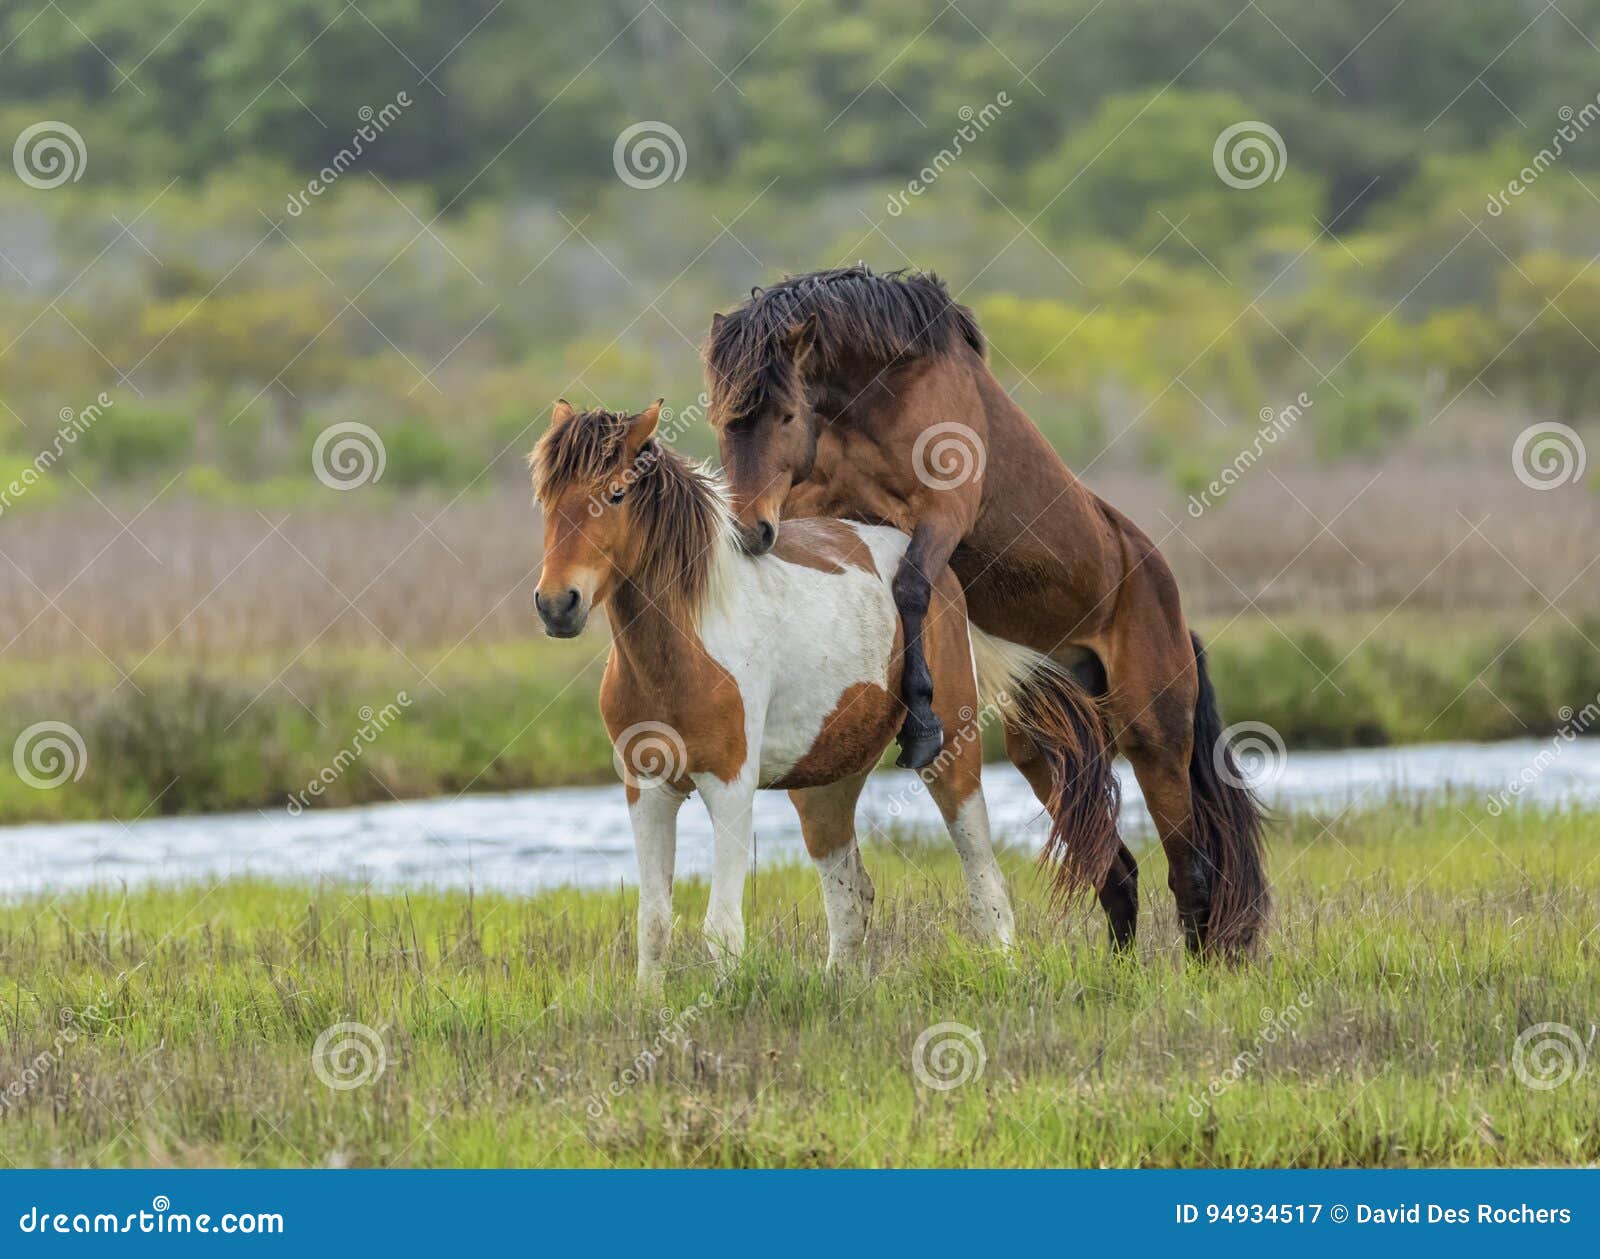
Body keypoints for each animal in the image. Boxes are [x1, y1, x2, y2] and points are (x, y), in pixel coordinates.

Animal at [531, 398, 1120, 991]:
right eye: (545, 499)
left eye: (615, 494)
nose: (558, 605)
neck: (686, 645)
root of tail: (937, 576)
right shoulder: (647, 789)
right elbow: (653, 924)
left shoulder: (729, 785)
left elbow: (722, 929)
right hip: (824, 788)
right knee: (851, 898)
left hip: (953, 758)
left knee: (986, 884)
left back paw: (1002, 973)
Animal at [707, 265, 1267, 953]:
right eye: (721, 418)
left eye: (787, 414)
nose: (750, 530)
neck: (882, 393)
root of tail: (1173, 610)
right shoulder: (823, 506)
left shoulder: (944, 515)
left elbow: (911, 587)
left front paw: (921, 723)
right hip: (1045, 750)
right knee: (1120, 873)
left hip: (1155, 737)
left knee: (1190, 872)